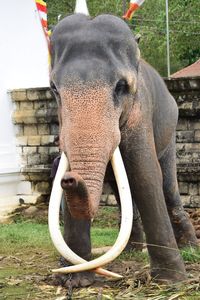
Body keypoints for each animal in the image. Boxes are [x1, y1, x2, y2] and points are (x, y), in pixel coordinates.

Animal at [49, 12, 198, 288]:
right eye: (54, 88)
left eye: (121, 86)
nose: (69, 178)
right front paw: (75, 280)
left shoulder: (141, 112)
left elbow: (145, 174)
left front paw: (170, 281)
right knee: (121, 193)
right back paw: (131, 251)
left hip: (170, 131)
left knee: (168, 186)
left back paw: (190, 248)